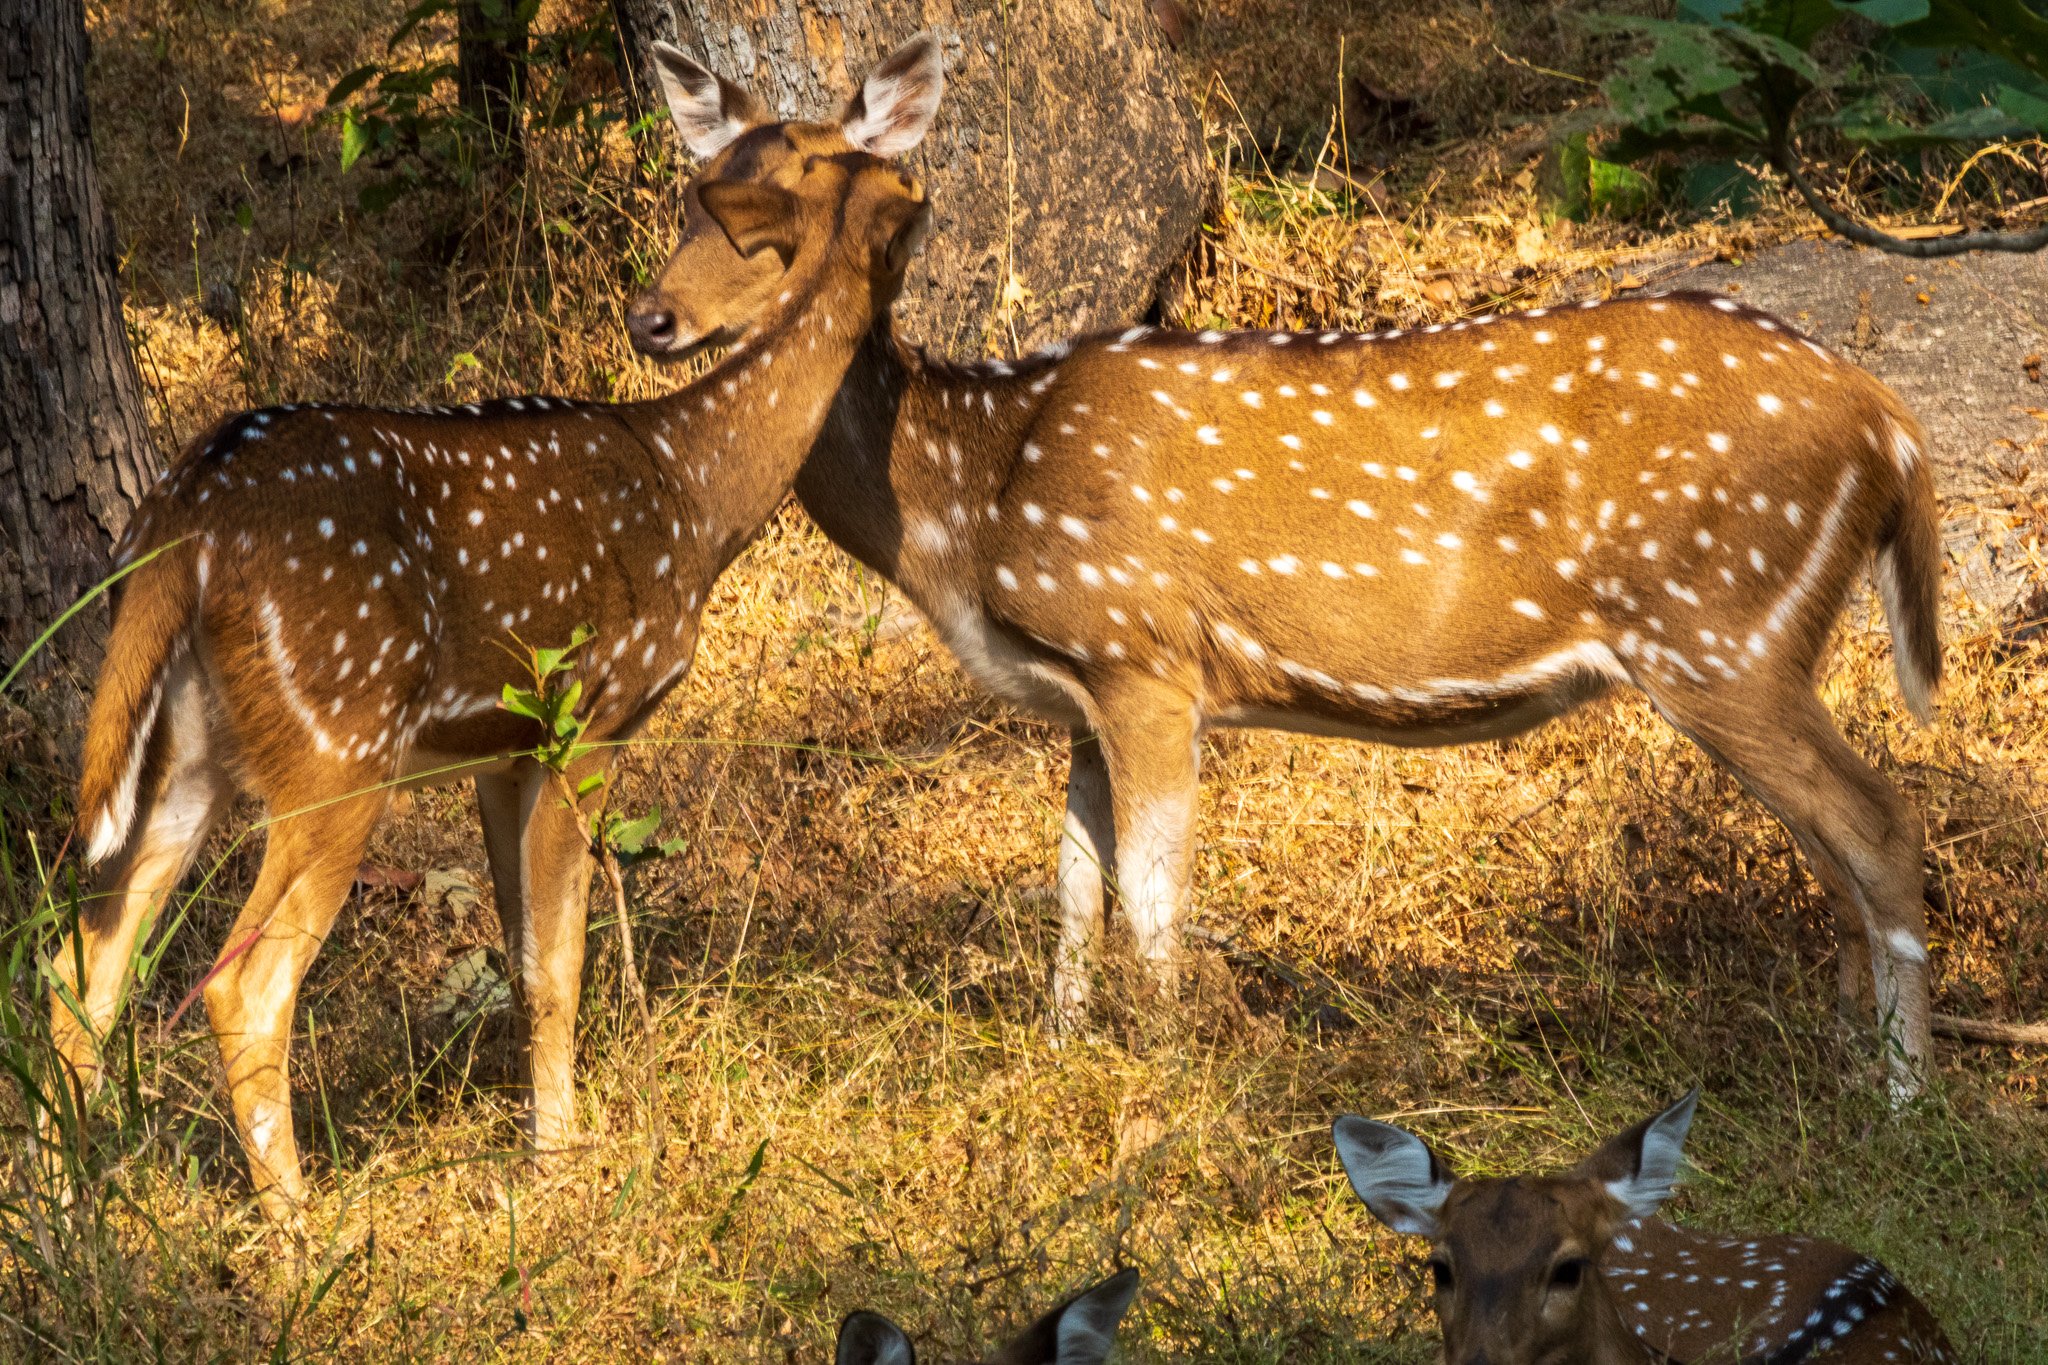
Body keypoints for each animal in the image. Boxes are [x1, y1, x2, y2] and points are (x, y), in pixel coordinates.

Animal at [56, 101, 937, 1227]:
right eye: (879, 187)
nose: (657, 319)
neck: (694, 496)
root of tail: (183, 523)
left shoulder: (500, 748)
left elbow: (519, 961)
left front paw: (538, 1138)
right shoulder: (590, 715)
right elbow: (561, 963)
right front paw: (559, 1164)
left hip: (184, 749)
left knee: (81, 968)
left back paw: (65, 1213)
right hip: (338, 739)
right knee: (240, 984)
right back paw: (298, 1230)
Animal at [630, 42, 1941, 1096]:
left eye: (785, 198)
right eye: (695, 191)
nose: (650, 318)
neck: (967, 496)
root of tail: (1888, 425)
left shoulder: (1142, 653)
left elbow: (1151, 902)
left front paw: (1167, 1079)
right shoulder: (1080, 690)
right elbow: (1072, 890)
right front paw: (1061, 1054)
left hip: (1719, 627)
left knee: (1878, 822)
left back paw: (1904, 1100)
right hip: (1745, 638)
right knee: (1834, 851)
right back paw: (1843, 1071)